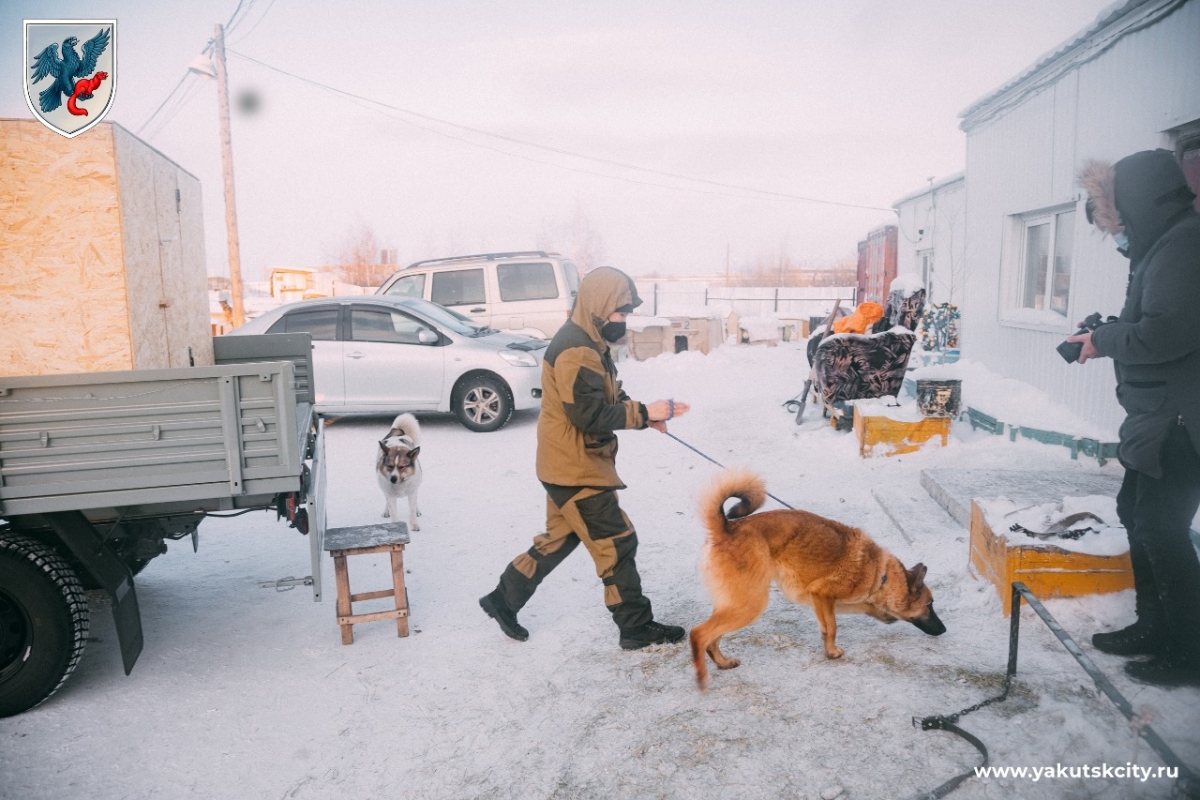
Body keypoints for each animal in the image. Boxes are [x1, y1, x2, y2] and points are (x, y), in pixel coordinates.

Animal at [691, 470, 940, 690]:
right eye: (929, 605)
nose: (944, 629)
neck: (881, 574)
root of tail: (726, 528)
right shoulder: (822, 594)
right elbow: (833, 627)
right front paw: (832, 652)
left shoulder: (822, 601)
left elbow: (829, 626)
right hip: (750, 604)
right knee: (699, 633)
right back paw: (702, 678)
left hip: (734, 603)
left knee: (712, 638)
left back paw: (722, 663)